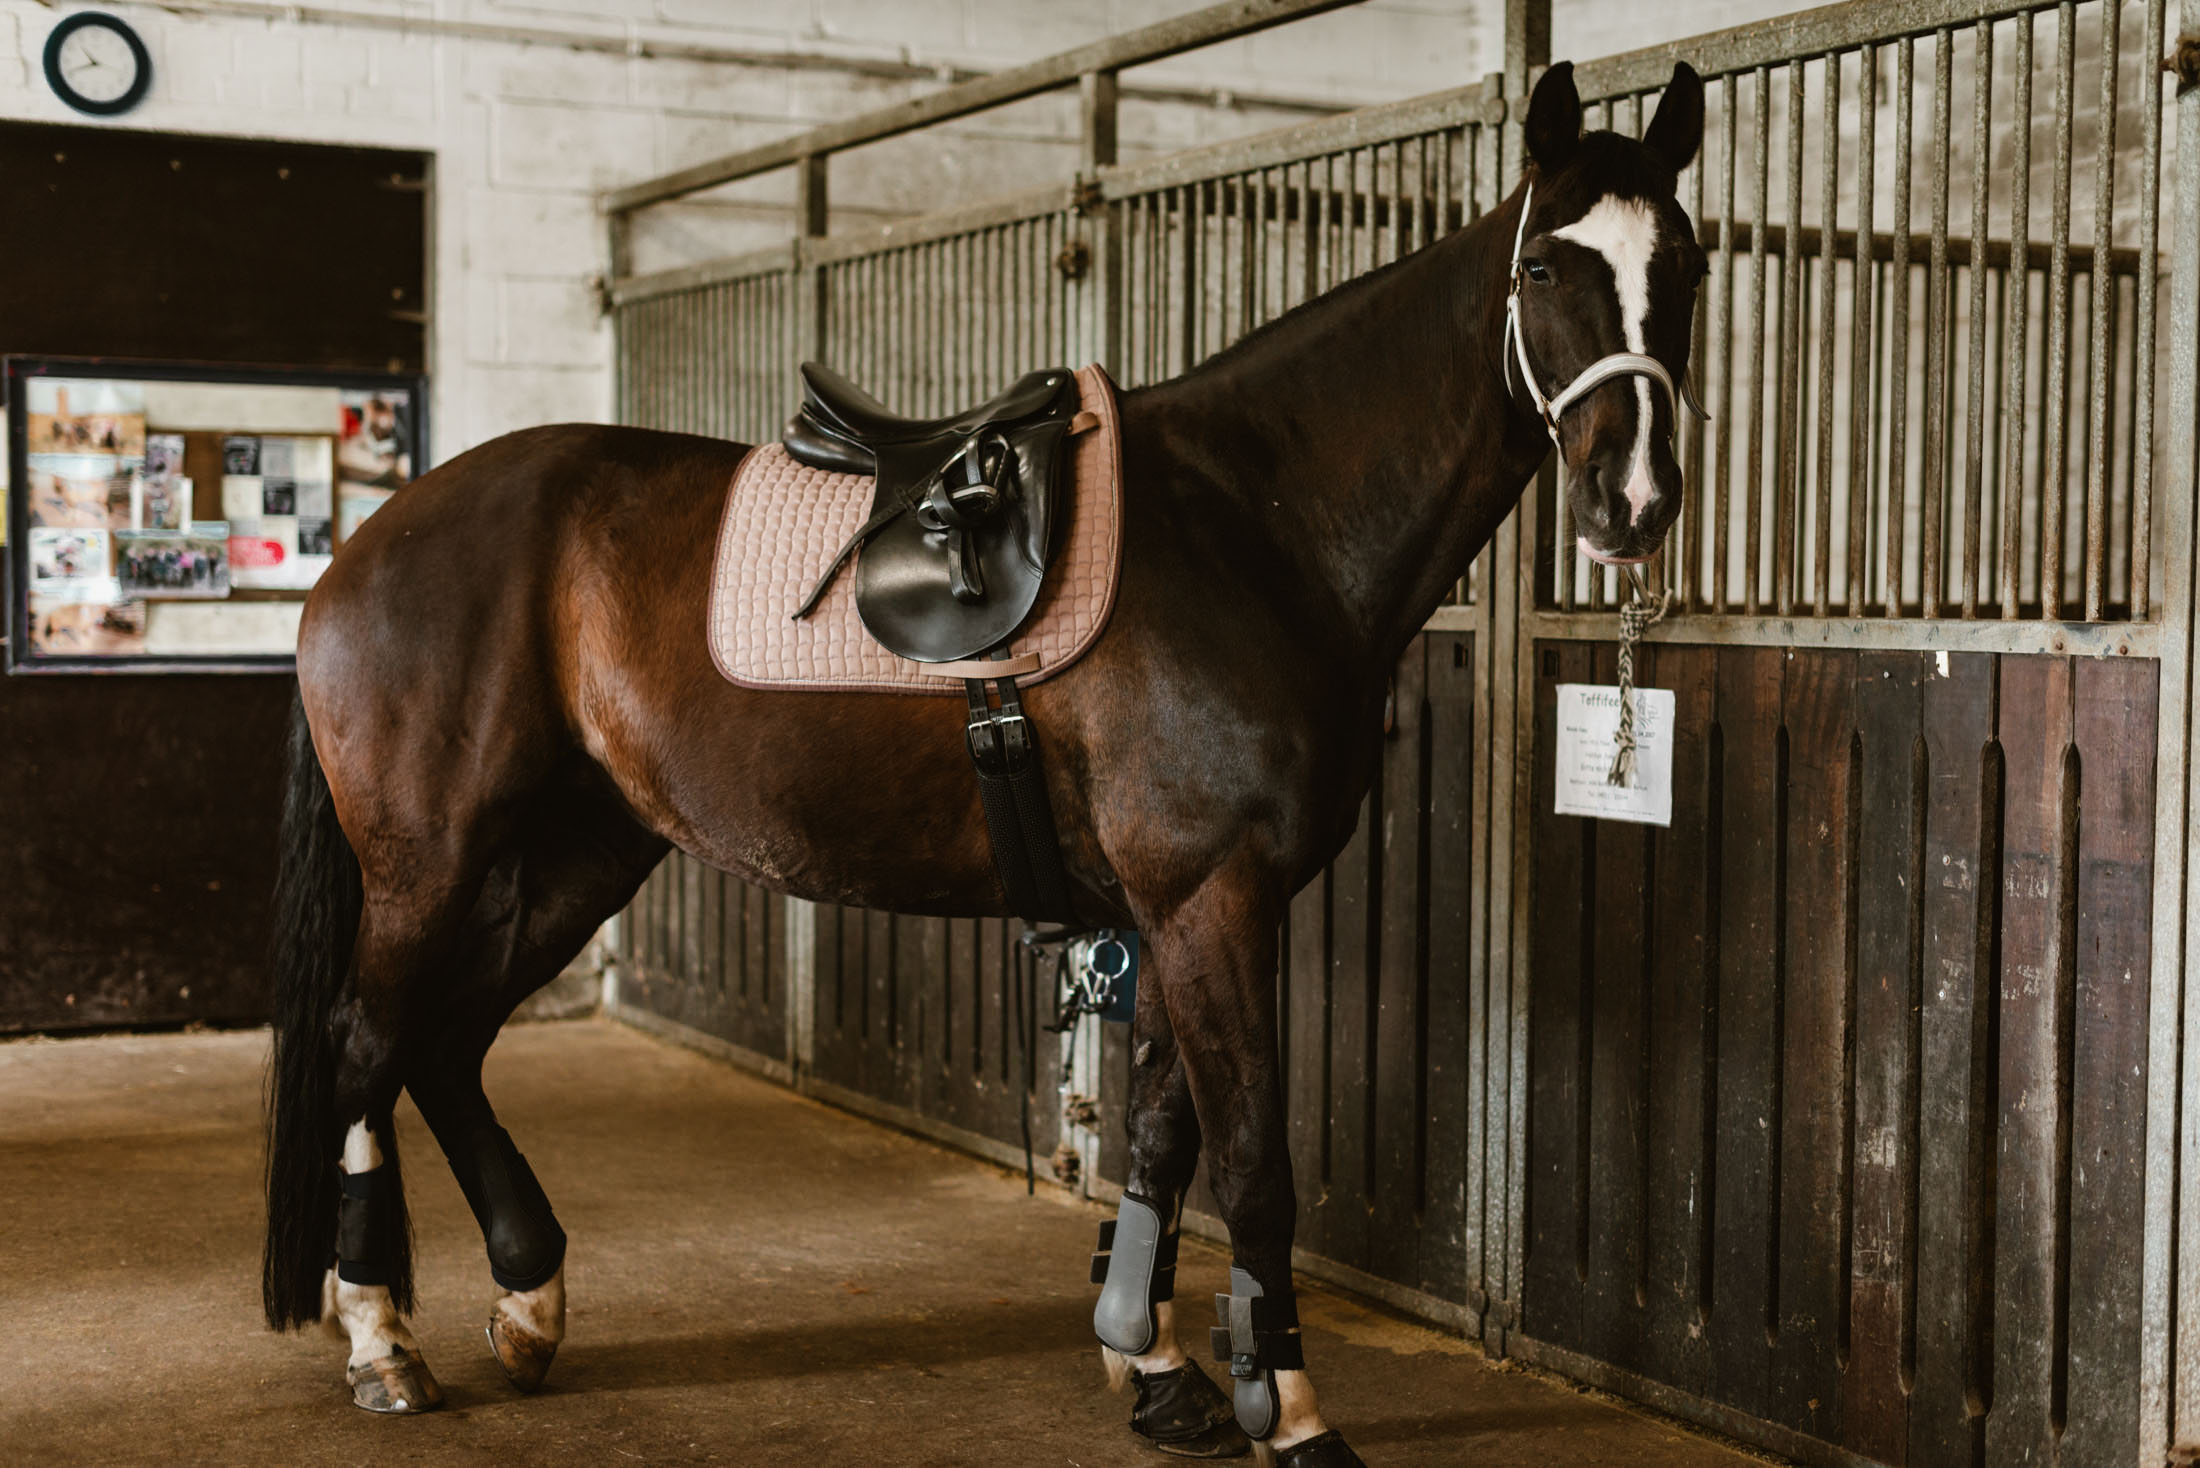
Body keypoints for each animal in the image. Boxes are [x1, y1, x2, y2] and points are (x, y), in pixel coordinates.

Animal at [257, 60, 1698, 1468]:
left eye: (1684, 265)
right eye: (1543, 268)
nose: (1631, 501)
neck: (1251, 526)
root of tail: (367, 546)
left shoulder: (1178, 914)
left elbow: (1163, 1133)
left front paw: (1152, 1367)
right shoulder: (1212, 900)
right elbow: (1250, 1160)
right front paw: (1288, 1412)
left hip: (579, 851)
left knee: (444, 1043)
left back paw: (527, 1303)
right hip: (431, 861)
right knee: (367, 1041)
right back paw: (382, 1340)